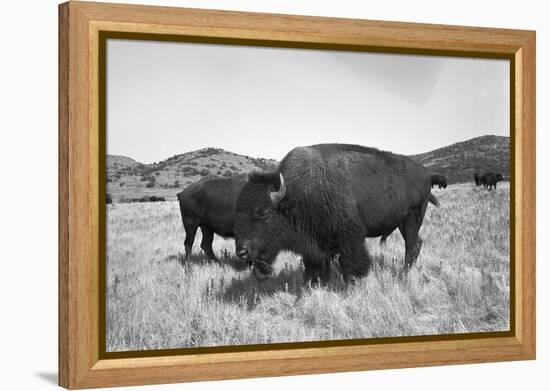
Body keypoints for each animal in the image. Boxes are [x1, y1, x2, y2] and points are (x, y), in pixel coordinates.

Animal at [236, 144, 440, 284]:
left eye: (264, 213)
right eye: (237, 212)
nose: (242, 252)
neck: (296, 195)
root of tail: (425, 173)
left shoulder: (350, 238)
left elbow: (351, 264)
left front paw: (351, 284)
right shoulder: (315, 246)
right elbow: (315, 267)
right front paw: (316, 283)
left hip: (413, 218)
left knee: (410, 246)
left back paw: (404, 275)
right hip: (402, 223)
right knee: (417, 243)